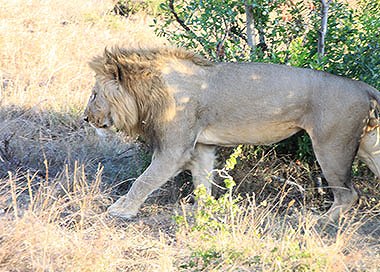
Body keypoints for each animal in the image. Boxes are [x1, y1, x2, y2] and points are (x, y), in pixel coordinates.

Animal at [84, 46, 380, 221]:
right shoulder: (201, 146)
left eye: (94, 94)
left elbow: (143, 181)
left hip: (331, 146)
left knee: (348, 194)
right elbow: (202, 179)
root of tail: (363, 87)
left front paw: (122, 210)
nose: (85, 118)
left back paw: (319, 221)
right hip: (369, 146)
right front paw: (200, 209)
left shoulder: (174, 150)